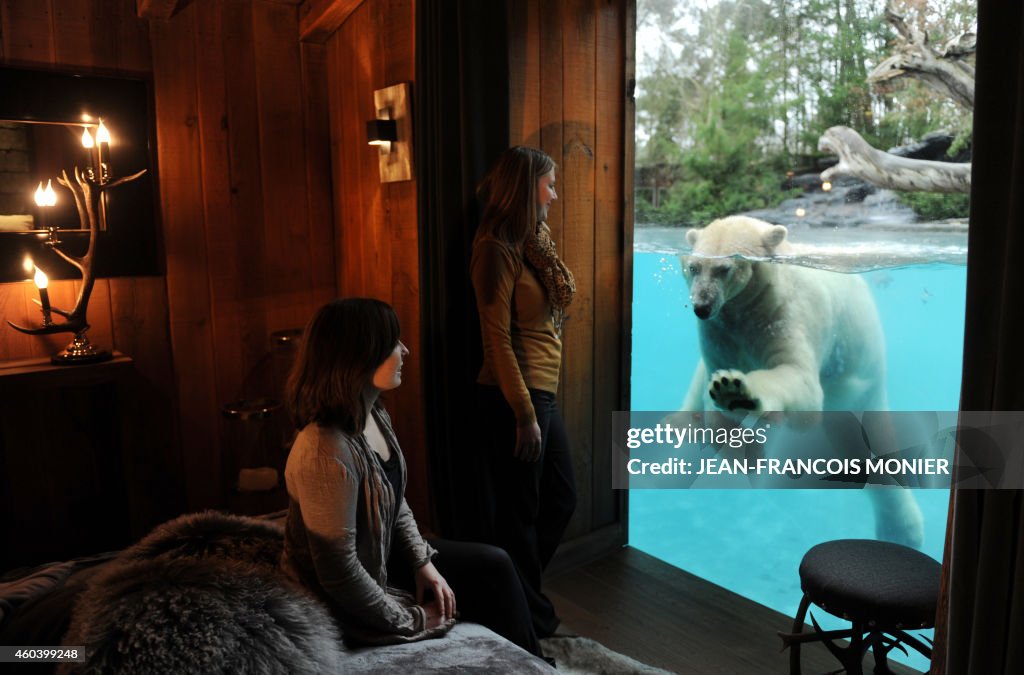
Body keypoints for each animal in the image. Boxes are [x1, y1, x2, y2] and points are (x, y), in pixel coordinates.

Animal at [679, 216, 929, 549]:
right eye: (693, 266)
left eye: (725, 268)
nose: (701, 307)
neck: (749, 309)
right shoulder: (720, 333)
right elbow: (714, 382)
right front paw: (737, 444)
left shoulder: (785, 315)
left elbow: (799, 381)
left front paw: (736, 392)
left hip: (859, 377)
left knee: (871, 445)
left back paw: (903, 530)